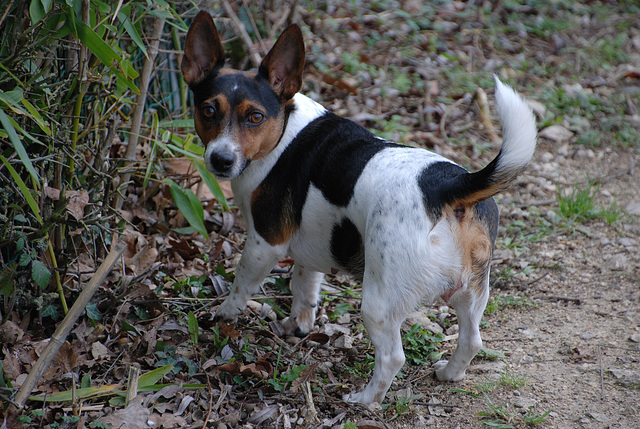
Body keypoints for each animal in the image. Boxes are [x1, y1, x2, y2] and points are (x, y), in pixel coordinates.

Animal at [180, 10, 536, 404]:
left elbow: (242, 285)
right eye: (208, 110)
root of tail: (445, 188)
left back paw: (365, 400)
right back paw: (448, 373)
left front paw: (224, 315)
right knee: (472, 339)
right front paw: (297, 326)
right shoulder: (310, 247)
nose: (221, 160)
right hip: (472, 290)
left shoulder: (263, 244)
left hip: (379, 301)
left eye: (254, 117)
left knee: (393, 357)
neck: (285, 130)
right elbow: (304, 288)